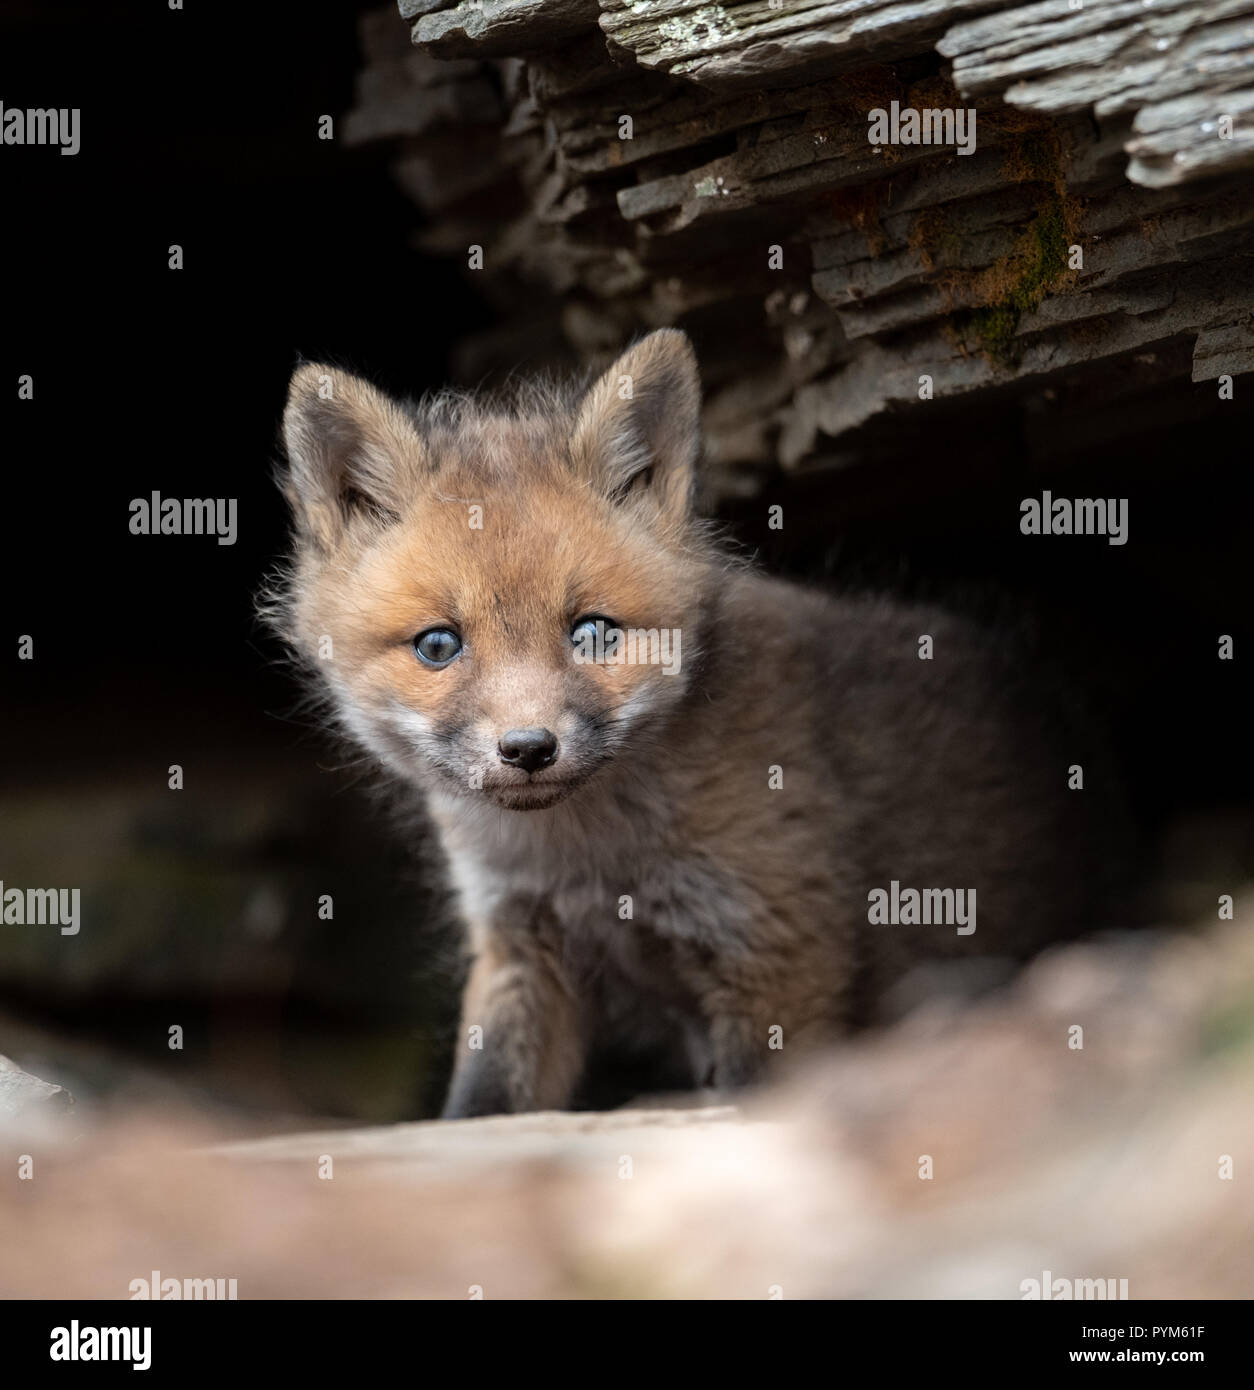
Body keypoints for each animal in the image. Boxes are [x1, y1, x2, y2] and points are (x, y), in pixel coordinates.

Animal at [269, 329, 1126, 1118]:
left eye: (594, 634)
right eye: (439, 646)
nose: (529, 748)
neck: (589, 861)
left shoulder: (775, 947)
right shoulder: (520, 942)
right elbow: (483, 1103)